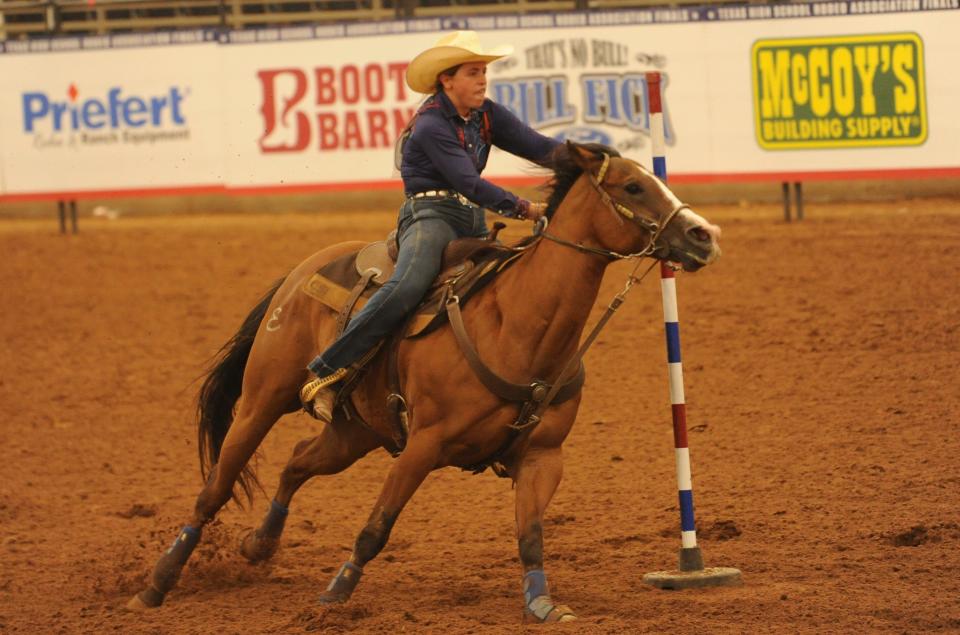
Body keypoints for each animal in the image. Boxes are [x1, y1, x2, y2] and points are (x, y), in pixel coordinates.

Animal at [127, 142, 716, 624]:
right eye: (633, 186)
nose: (703, 235)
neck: (515, 323)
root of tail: (300, 272)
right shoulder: (423, 445)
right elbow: (375, 528)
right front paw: (334, 597)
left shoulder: (543, 456)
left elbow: (530, 536)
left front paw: (542, 603)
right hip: (262, 400)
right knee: (215, 489)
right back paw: (156, 583)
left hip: (356, 433)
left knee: (296, 461)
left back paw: (259, 546)